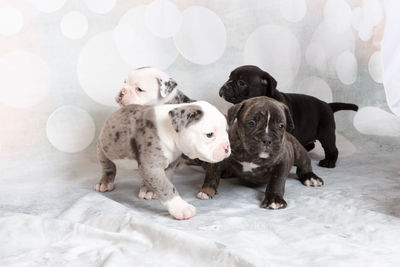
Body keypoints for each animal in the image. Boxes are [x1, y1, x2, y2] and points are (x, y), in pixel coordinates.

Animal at [95, 100, 230, 220]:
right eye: (209, 134)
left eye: (227, 132)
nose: (227, 148)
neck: (170, 131)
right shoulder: (151, 166)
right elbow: (166, 186)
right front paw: (181, 207)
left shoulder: (169, 165)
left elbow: (165, 180)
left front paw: (149, 190)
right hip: (102, 149)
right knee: (108, 167)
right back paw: (105, 183)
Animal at [219, 65, 360, 169]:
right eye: (229, 77)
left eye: (241, 83)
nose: (225, 85)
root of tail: (328, 105)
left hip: (326, 133)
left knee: (332, 148)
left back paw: (329, 161)